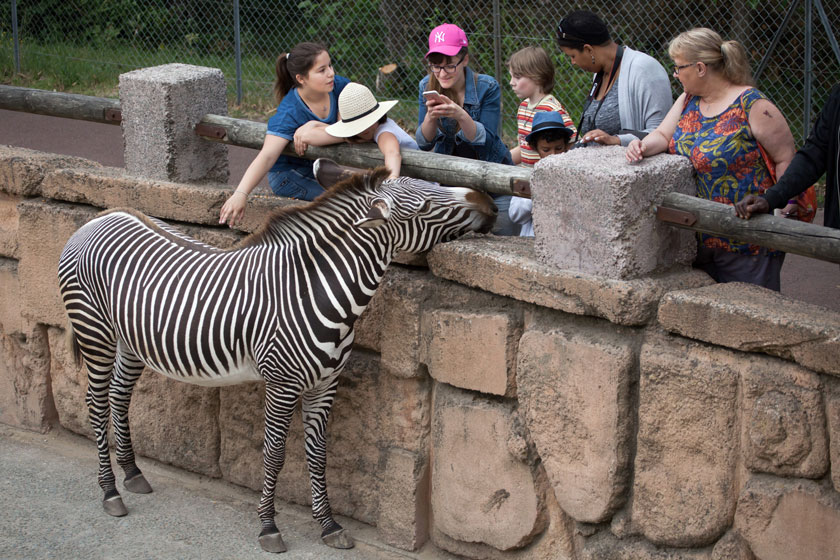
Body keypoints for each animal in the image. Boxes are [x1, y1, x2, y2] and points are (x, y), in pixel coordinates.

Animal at [57, 163, 498, 556]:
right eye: (424, 205)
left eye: (433, 185)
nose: (490, 202)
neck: (316, 292)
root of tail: (102, 216)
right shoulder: (282, 383)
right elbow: (274, 453)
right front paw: (268, 527)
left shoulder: (326, 384)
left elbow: (318, 454)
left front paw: (329, 525)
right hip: (94, 332)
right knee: (96, 404)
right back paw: (110, 492)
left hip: (131, 341)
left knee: (118, 397)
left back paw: (132, 474)